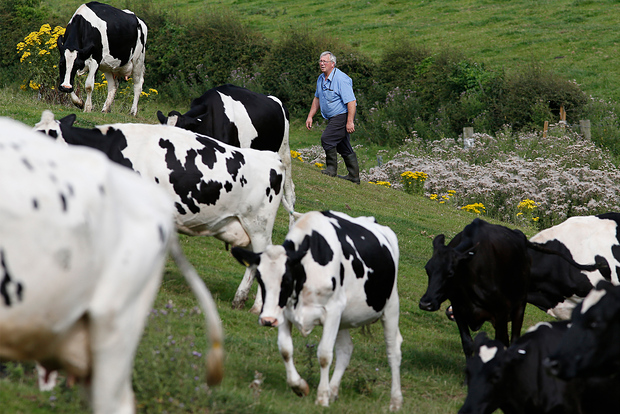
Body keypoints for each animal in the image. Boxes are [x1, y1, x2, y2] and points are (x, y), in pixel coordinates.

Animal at [231, 212, 402, 412]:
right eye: (259, 278)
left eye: (286, 279)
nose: (268, 320)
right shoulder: (285, 312)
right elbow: (285, 349)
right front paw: (300, 387)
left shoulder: (333, 311)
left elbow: (324, 355)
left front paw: (321, 398)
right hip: (344, 318)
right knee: (346, 349)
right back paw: (333, 391)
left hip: (390, 307)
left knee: (393, 351)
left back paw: (395, 401)